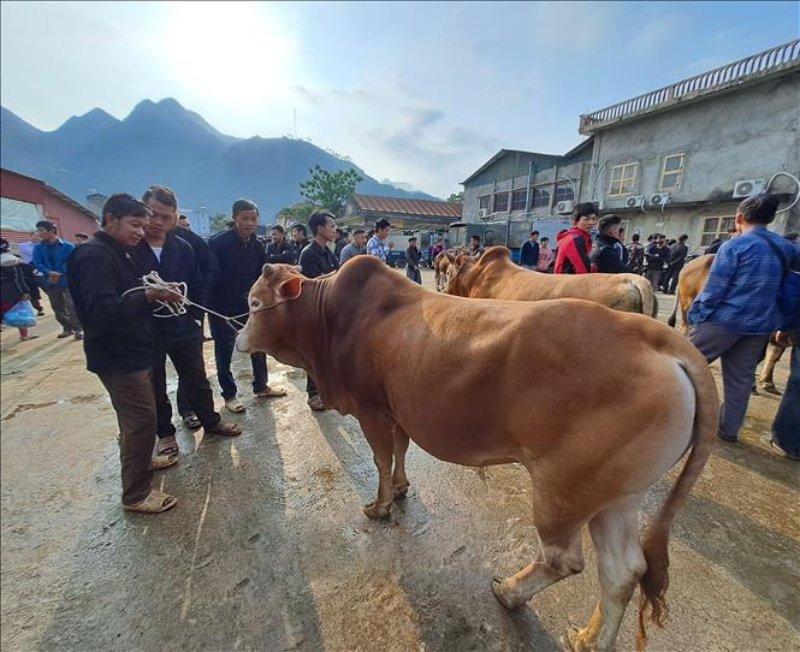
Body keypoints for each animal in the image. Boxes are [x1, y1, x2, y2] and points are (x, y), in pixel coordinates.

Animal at [234, 258, 716, 648]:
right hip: (615, 495)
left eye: (255, 302)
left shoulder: (371, 410)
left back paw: (509, 593)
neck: (329, 320)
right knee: (623, 572)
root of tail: (663, 340)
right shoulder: (397, 410)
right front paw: (403, 489)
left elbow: (380, 459)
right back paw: (589, 639)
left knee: (563, 560)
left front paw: (380, 505)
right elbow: (400, 451)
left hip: (565, 491)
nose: (237, 337)